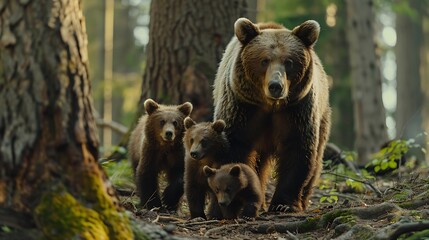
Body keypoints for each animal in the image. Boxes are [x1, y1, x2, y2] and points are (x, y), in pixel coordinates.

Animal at [212, 17, 330, 212]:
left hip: (322, 117)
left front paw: (284, 204)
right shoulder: (242, 107)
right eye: (264, 61)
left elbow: (297, 150)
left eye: (289, 61)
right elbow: (235, 146)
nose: (276, 86)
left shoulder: (296, 110)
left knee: (317, 159)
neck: (270, 106)